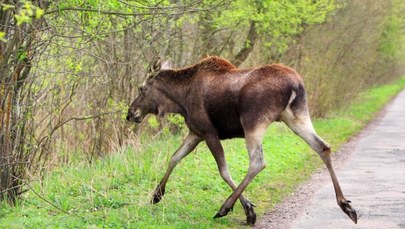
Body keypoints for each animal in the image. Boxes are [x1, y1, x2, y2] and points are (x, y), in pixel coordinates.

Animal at [126, 56, 356, 225]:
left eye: (141, 88)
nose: (130, 113)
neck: (179, 100)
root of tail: (295, 84)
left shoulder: (209, 132)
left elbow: (223, 170)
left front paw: (247, 209)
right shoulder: (195, 133)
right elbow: (174, 158)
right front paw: (157, 194)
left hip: (253, 123)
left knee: (257, 162)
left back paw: (224, 207)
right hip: (296, 117)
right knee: (323, 147)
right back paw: (346, 205)